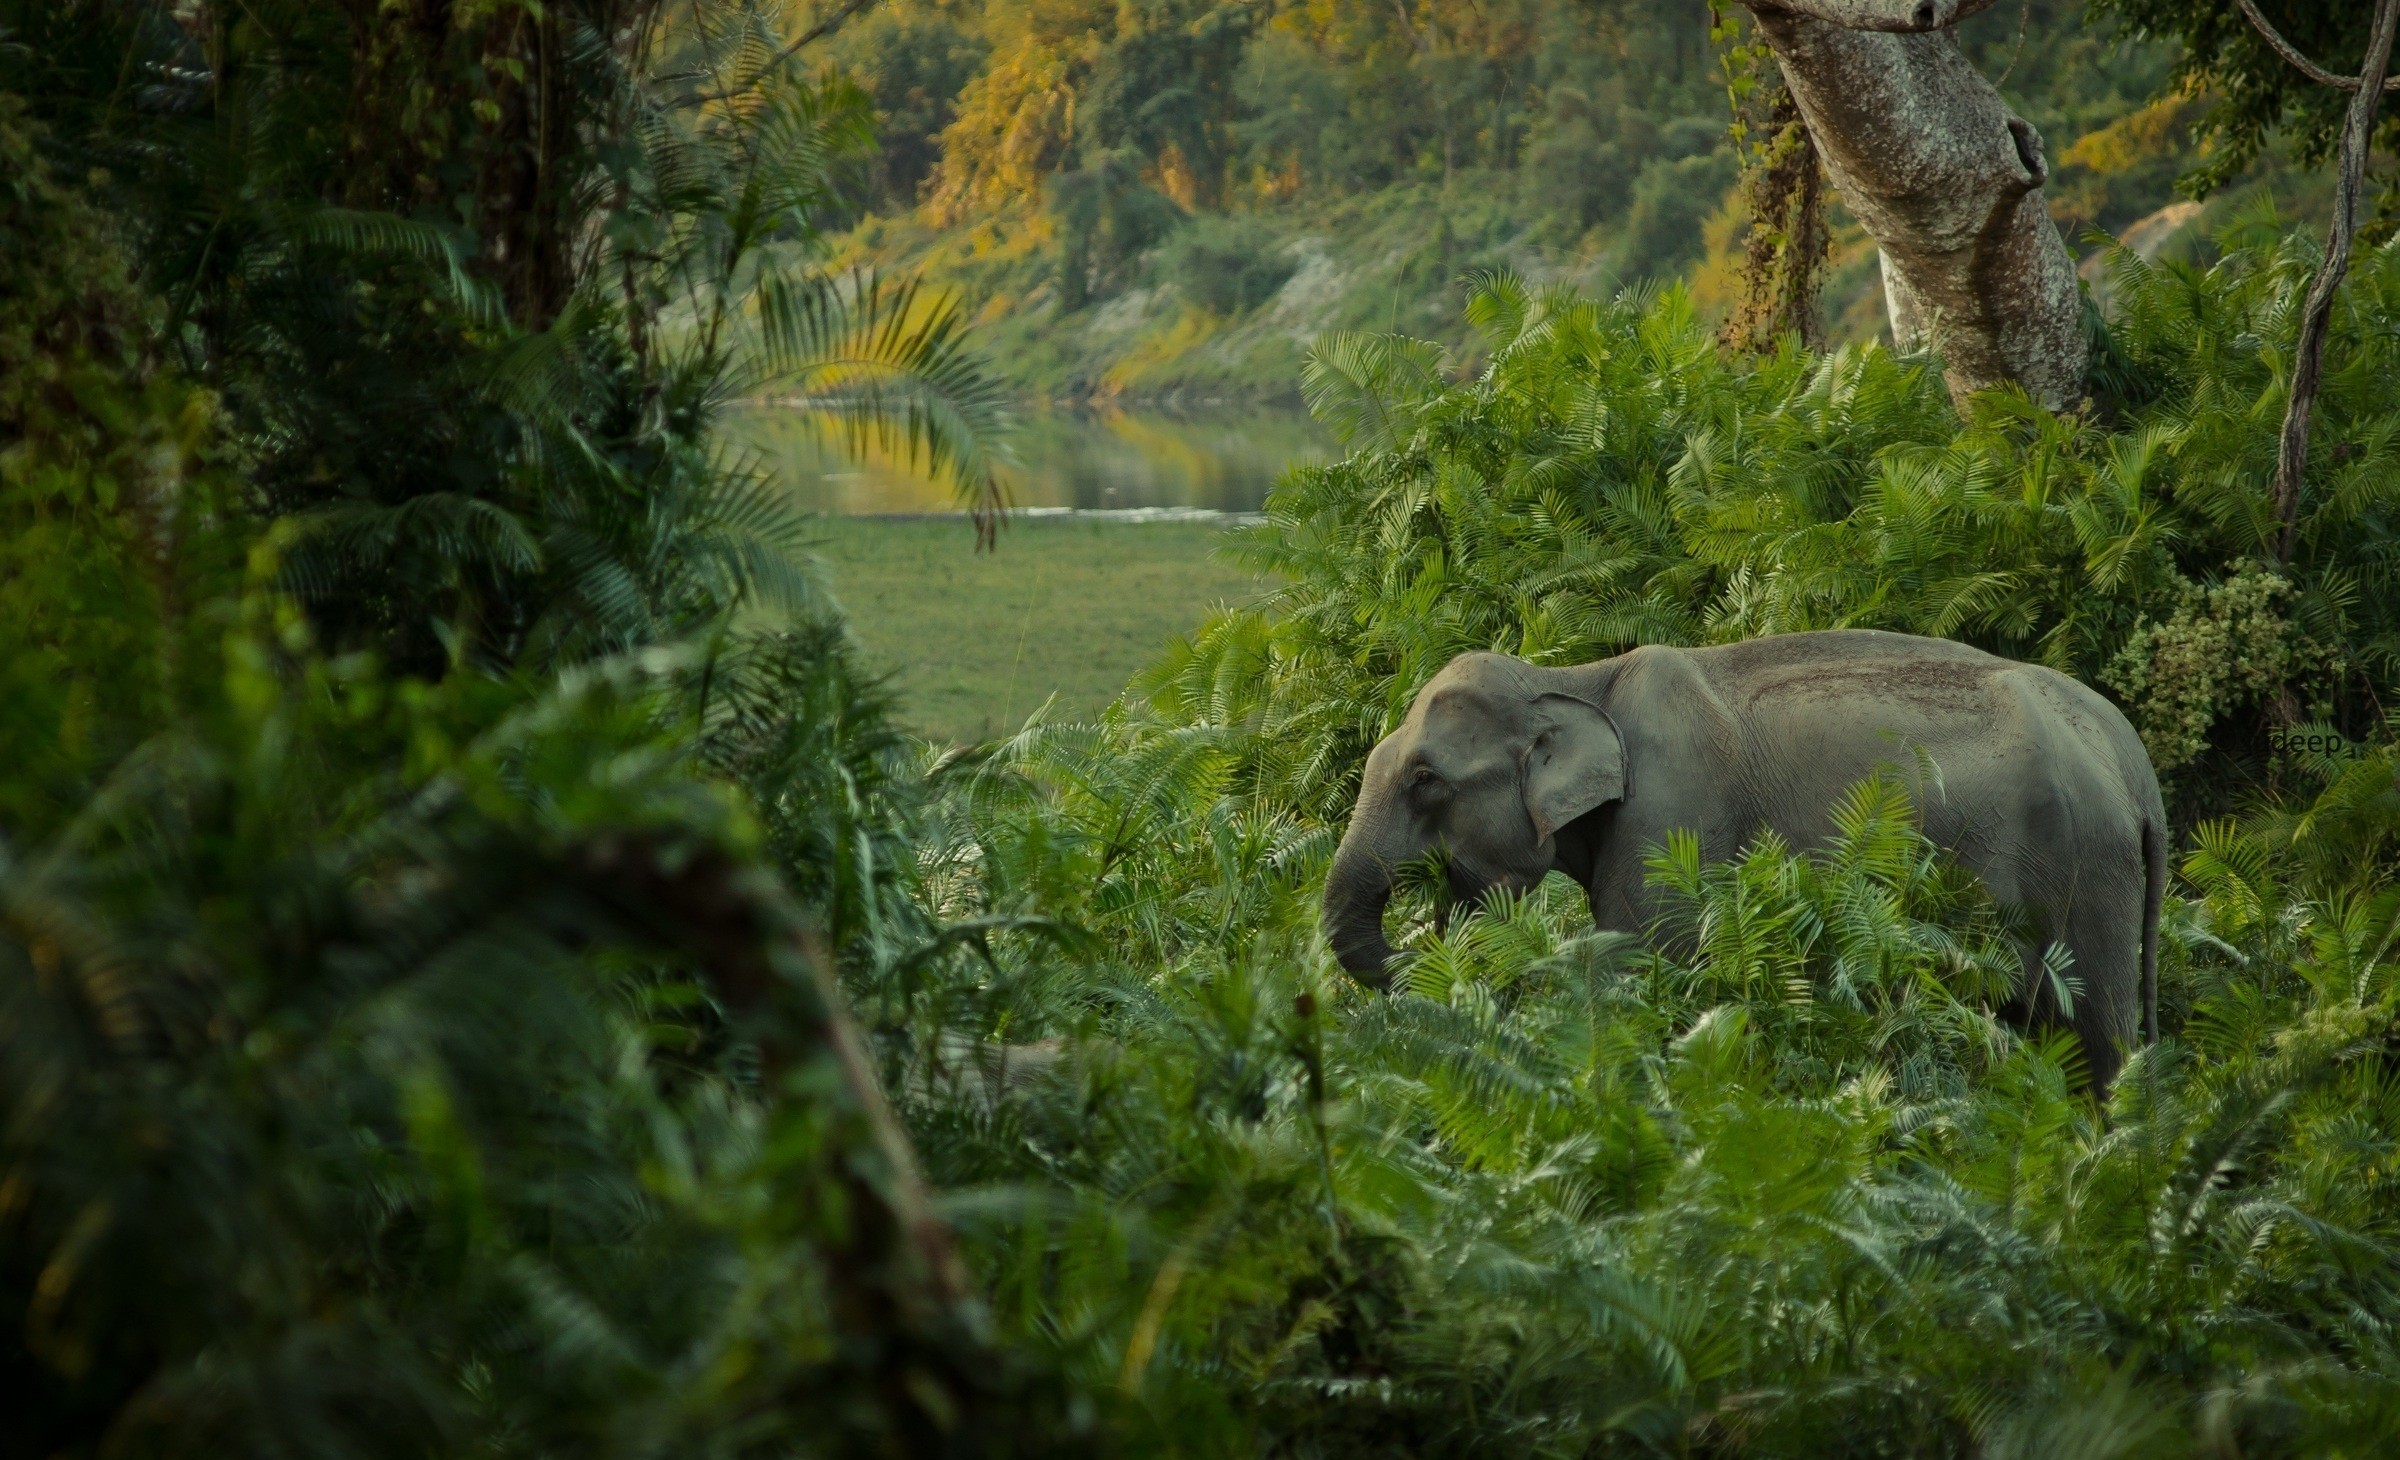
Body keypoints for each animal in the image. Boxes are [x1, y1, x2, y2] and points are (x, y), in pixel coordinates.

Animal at [1324, 629, 2169, 1095]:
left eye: (1425, 780)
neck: (1573, 678)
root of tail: (2135, 766)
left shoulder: (1672, 817)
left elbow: (1641, 971)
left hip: (2087, 875)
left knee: (2094, 1044)